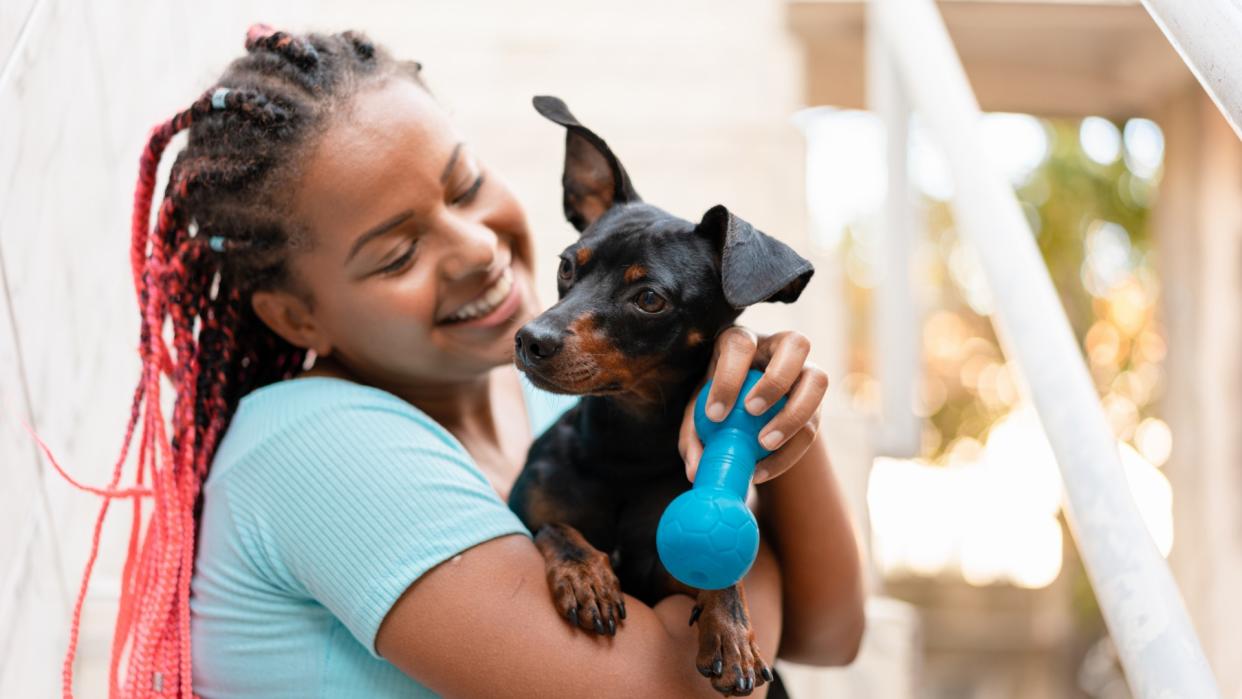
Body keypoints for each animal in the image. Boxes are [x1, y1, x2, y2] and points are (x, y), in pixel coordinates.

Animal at [506, 95, 814, 695]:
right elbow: (557, 527)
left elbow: (721, 576)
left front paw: (732, 633)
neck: (627, 443)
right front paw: (587, 574)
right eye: (566, 266)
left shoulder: (664, 572)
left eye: (649, 299)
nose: (531, 339)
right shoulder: (525, 507)